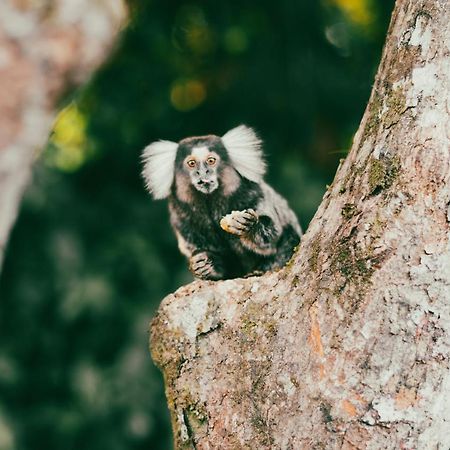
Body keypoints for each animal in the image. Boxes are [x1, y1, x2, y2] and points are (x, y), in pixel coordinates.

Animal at [142, 125, 300, 280]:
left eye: (211, 161)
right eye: (191, 163)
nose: (203, 172)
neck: (210, 201)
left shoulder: (254, 194)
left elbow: (271, 235)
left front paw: (246, 225)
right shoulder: (181, 218)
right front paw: (208, 265)